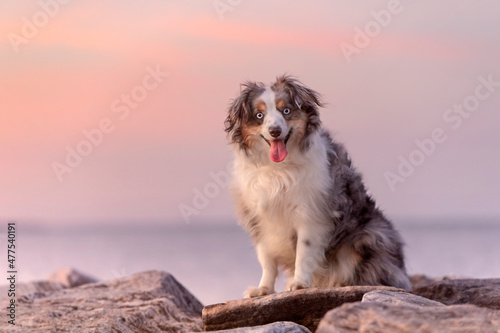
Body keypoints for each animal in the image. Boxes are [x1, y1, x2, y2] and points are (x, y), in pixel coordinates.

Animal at [226, 75, 410, 296]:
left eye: (286, 111)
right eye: (259, 115)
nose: (275, 131)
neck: (278, 169)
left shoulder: (311, 214)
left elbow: (304, 252)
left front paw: (299, 283)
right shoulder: (259, 218)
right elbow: (267, 260)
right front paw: (263, 289)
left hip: (370, 237)